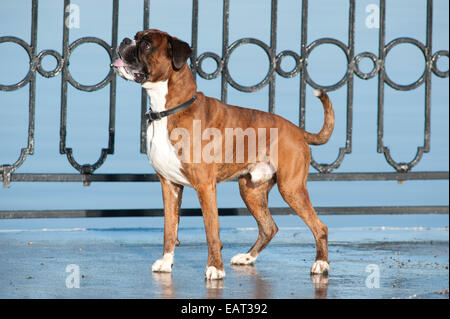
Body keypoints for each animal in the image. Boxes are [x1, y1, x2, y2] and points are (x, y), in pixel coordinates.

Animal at [112, 29, 334, 280]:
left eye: (147, 44)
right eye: (136, 36)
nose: (124, 41)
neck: (168, 111)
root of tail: (297, 130)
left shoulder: (205, 187)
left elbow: (212, 230)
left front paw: (215, 268)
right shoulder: (169, 186)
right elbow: (169, 229)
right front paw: (166, 262)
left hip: (291, 188)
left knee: (319, 226)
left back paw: (321, 264)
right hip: (251, 190)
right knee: (269, 227)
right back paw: (247, 257)